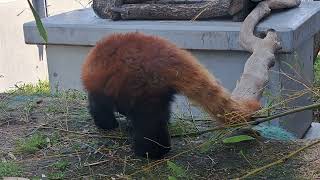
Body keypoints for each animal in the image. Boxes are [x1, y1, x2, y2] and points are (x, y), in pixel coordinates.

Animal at [80, 32, 260, 159]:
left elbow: (100, 108)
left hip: (142, 85)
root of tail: (167, 54)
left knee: (149, 122)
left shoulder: (101, 91)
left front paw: (107, 124)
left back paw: (151, 152)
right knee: (160, 114)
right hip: (158, 90)